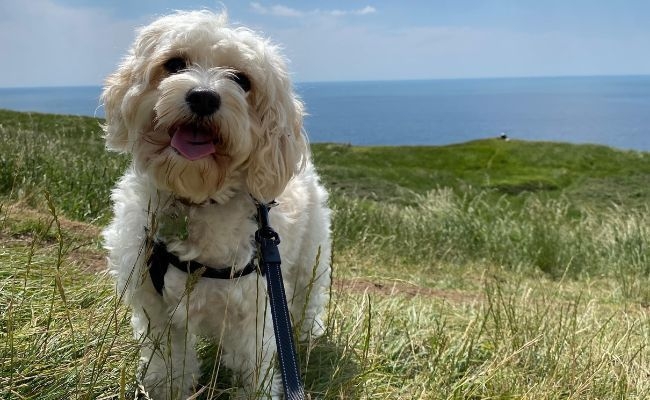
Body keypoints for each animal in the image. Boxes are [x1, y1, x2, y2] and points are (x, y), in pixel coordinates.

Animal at [104, 10, 332, 400]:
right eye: (174, 63)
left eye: (242, 80)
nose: (203, 98)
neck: (195, 197)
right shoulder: (154, 305)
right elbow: (167, 361)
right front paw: (166, 389)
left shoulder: (254, 310)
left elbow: (255, 368)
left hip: (308, 259)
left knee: (308, 297)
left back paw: (306, 335)